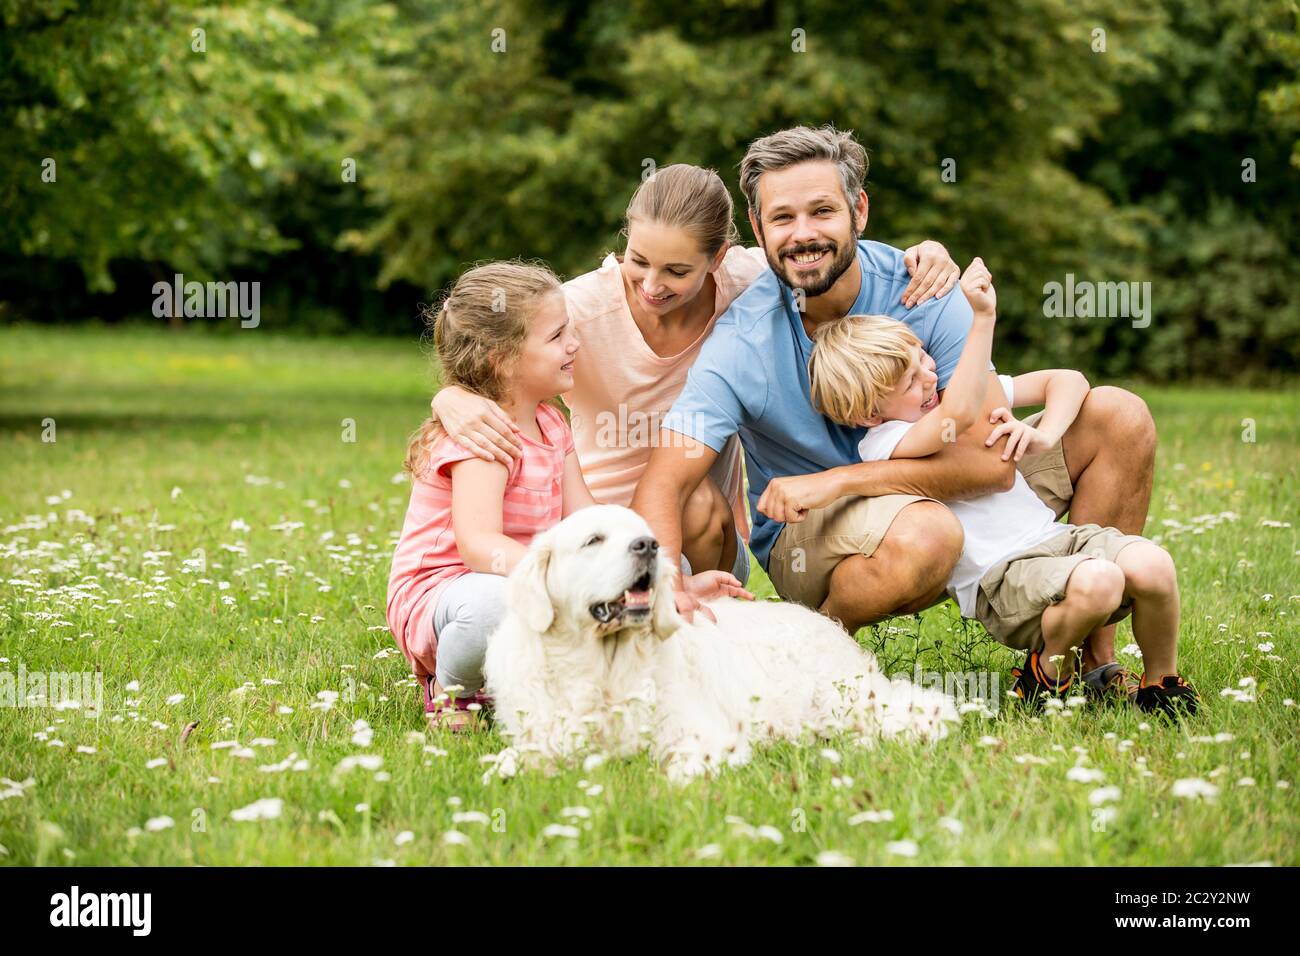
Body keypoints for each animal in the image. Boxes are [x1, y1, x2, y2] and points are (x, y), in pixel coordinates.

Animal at [486, 504, 956, 780]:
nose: (649, 545)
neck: (602, 668)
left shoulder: (701, 736)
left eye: (643, 533)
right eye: (593, 540)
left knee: (919, 709)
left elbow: (673, 774)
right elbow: (503, 768)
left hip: (842, 700)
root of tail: (828, 624)